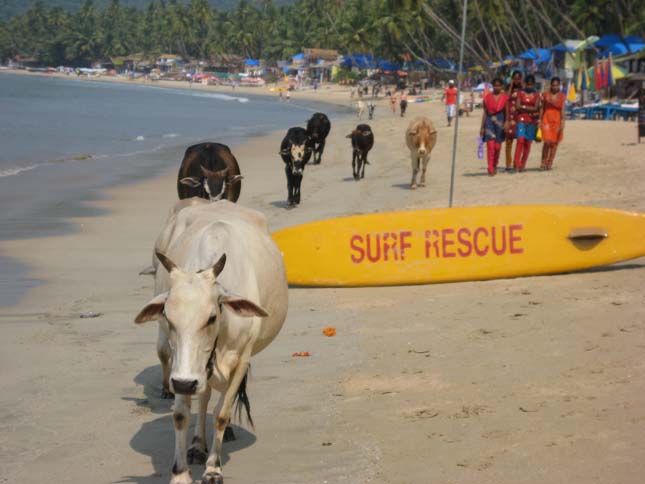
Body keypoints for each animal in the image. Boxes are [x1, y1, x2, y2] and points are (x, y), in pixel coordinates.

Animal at [135, 199, 288, 484]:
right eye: (168, 317)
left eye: (212, 317)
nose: (185, 383)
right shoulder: (182, 367)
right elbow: (181, 414)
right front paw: (181, 473)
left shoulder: (241, 358)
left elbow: (221, 414)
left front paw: (213, 468)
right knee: (204, 395)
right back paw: (197, 445)